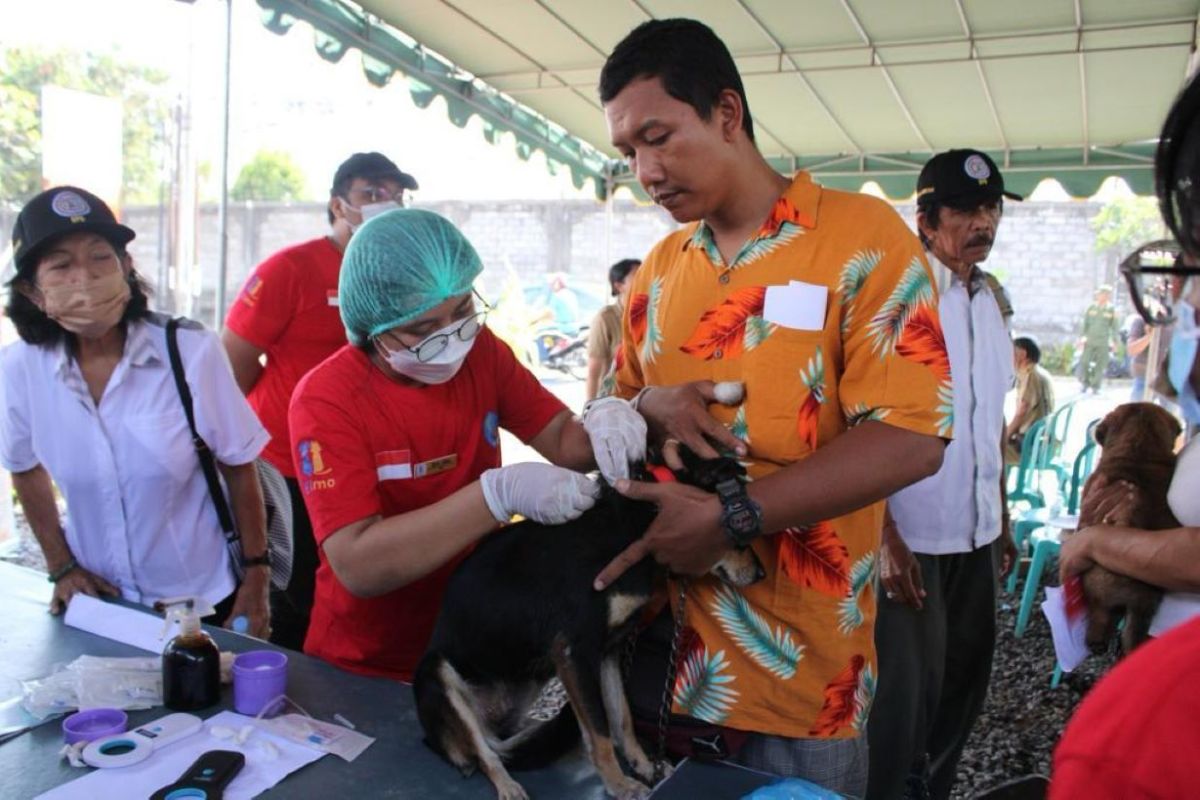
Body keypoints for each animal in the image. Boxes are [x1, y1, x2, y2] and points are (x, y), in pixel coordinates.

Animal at [417, 450, 763, 800]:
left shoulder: (609, 649)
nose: (761, 574)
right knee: (485, 755)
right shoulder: (574, 652)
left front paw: (643, 766)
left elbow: (621, 718)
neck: (637, 524)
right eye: (734, 533)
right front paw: (619, 784)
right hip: (435, 672)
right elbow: (599, 731)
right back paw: (507, 785)